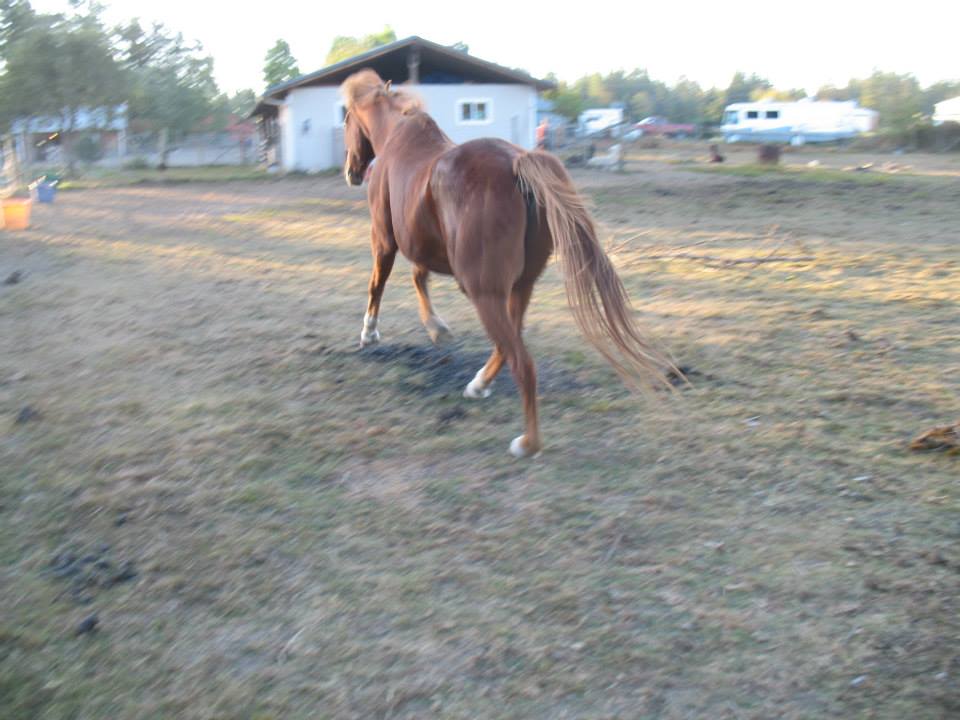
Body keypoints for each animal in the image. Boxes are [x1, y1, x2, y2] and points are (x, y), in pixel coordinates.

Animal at [342, 71, 672, 456]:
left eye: (346, 120)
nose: (351, 172)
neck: (396, 137)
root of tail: (519, 164)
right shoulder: (424, 246)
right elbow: (419, 278)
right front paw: (437, 327)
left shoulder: (384, 239)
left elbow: (378, 283)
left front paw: (369, 332)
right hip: (519, 288)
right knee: (507, 345)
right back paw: (478, 385)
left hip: (483, 291)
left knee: (522, 362)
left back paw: (527, 443)